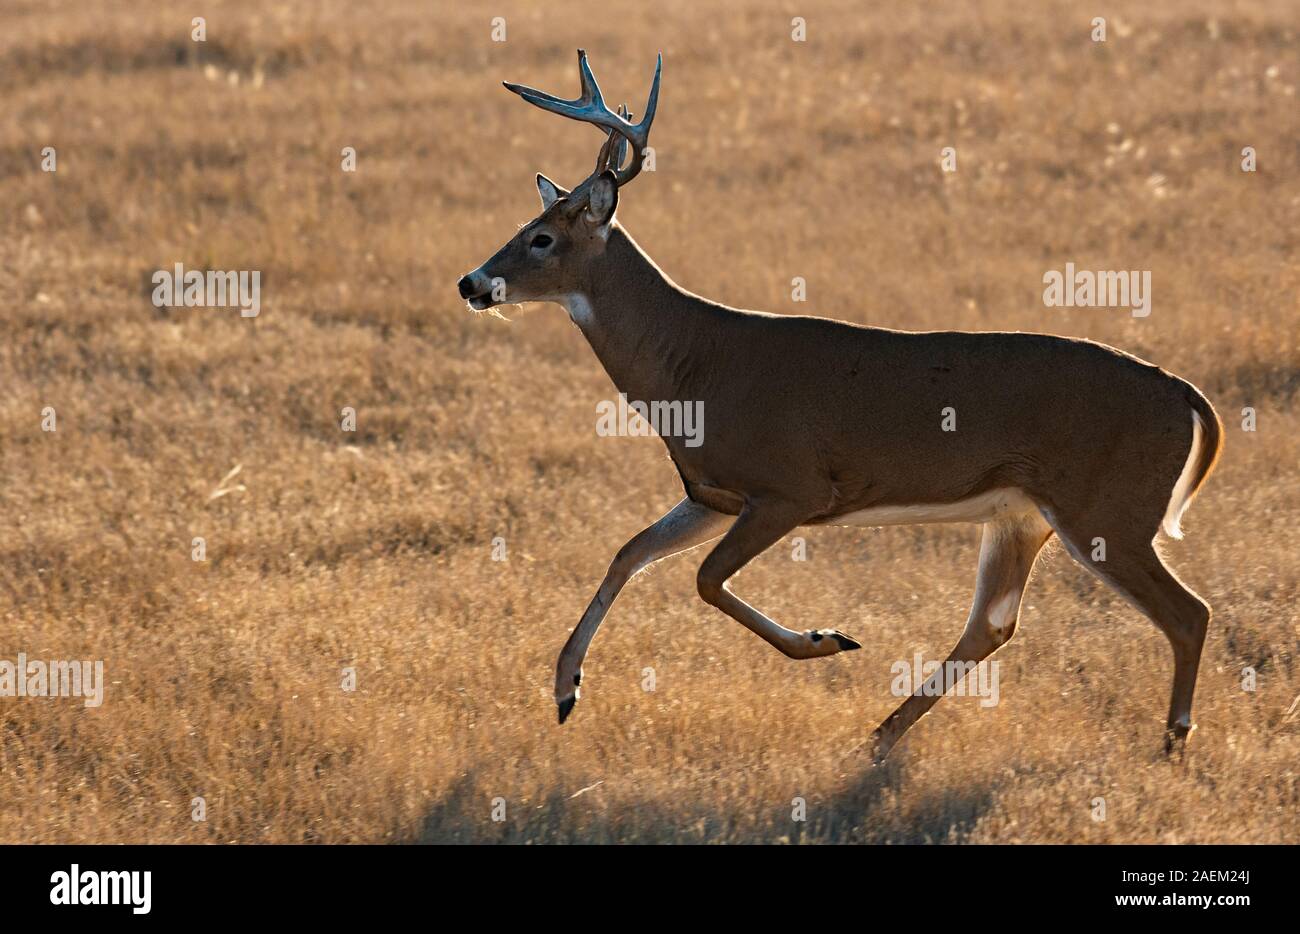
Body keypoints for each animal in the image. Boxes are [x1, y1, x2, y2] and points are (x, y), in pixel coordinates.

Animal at [457, 51, 1223, 762]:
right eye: (526, 223)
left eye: (542, 238)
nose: (471, 282)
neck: (693, 363)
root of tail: (1188, 397)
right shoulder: (712, 494)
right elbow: (629, 552)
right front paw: (564, 689)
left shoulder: (791, 487)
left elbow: (704, 580)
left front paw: (828, 639)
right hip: (1024, 514)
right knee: (994, 624)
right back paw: (879, 739)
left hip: (1108, 509)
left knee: (1188, 613)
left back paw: (1173, 742)